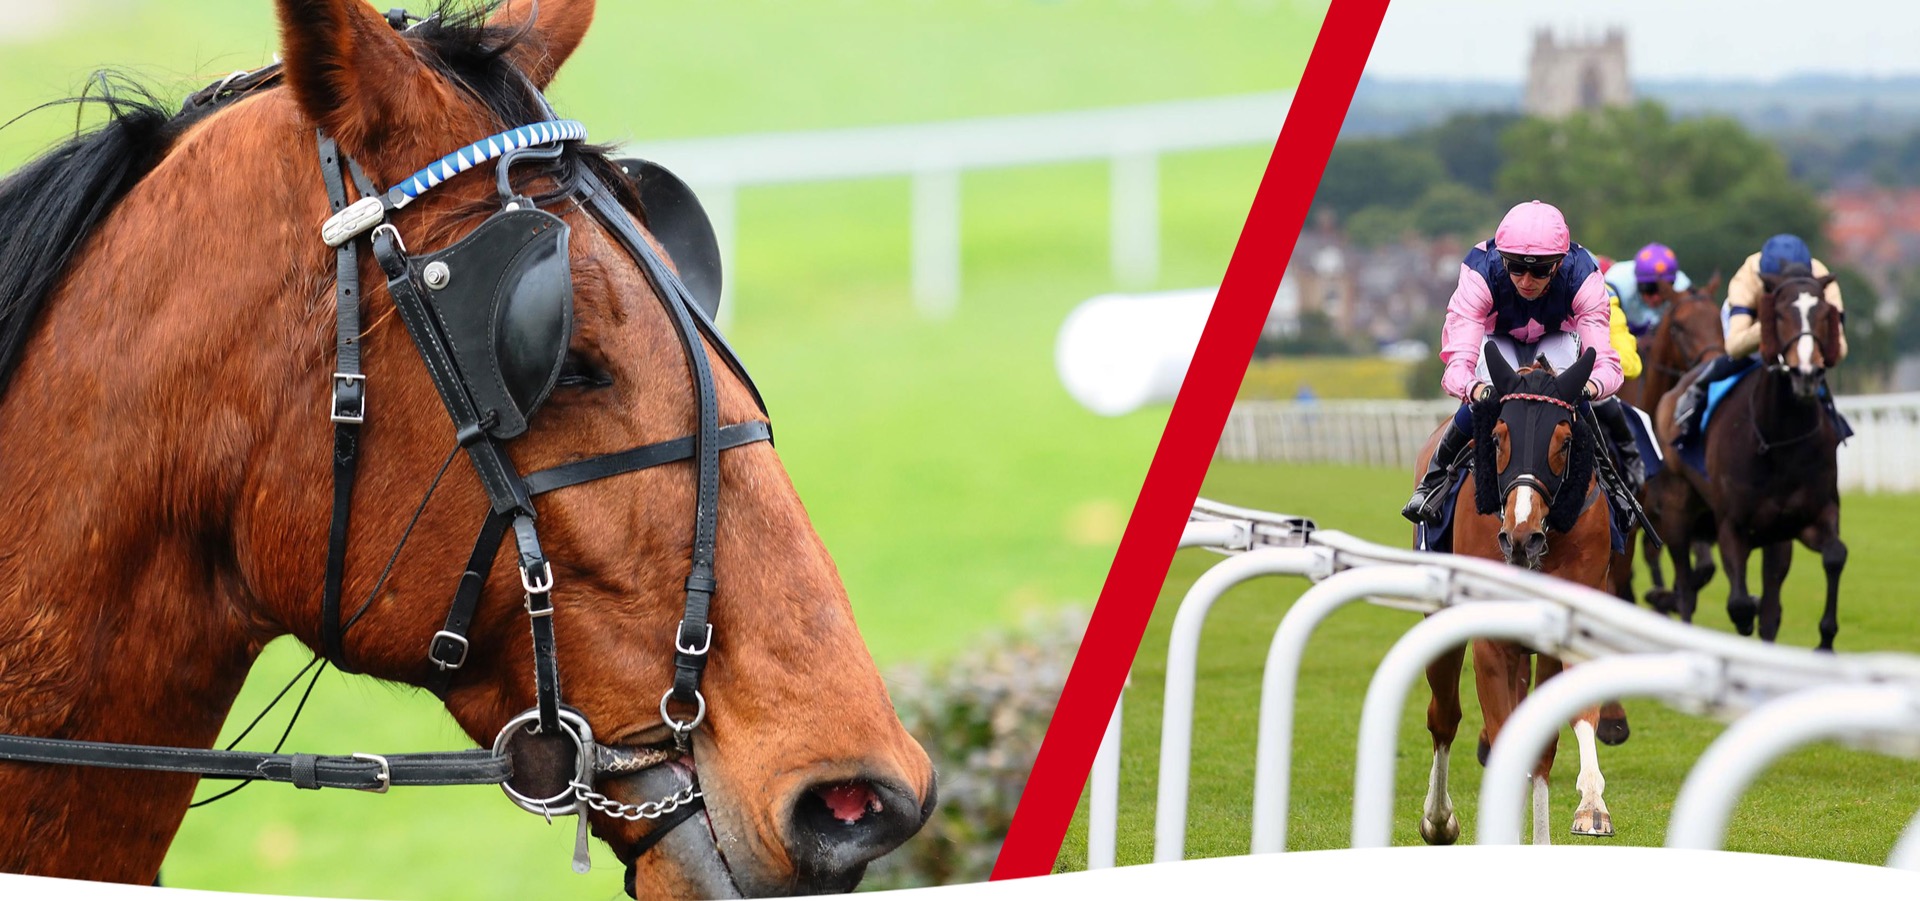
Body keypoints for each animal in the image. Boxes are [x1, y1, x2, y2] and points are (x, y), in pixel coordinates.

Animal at [1413, 345, 1616, 846]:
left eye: (1564, 441)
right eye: (1499, 436)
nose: (1520, 538)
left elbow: (1559, 731)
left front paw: (1591, 808)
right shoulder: (1492, 641)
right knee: (1443, 717)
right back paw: (1438, 819)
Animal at [1652, 269, 1848, 649]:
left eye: (1824, 314)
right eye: (1780, 314)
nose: (1805, 373)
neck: (1779, 440)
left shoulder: (1810, 515)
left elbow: (1835, 556)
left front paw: (1826, 641)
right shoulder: (1732, 524)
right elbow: (1739, 602)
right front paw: (1744, 617)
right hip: (1676, 513)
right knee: (1685, 588)